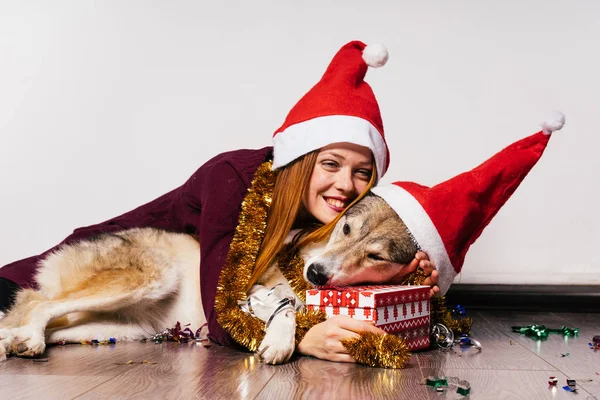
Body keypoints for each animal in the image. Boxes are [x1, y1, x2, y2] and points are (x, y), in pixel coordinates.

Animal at [0, 192, 418, 364]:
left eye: (376, 255)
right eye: (346, 228)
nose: (314, 274)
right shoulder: (248, 293)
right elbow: (285, 305)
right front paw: (279, 342)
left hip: (120, 327)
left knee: (45, 320)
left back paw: (15, 342)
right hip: (151, 277)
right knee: (37, 303)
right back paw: (28, 339)